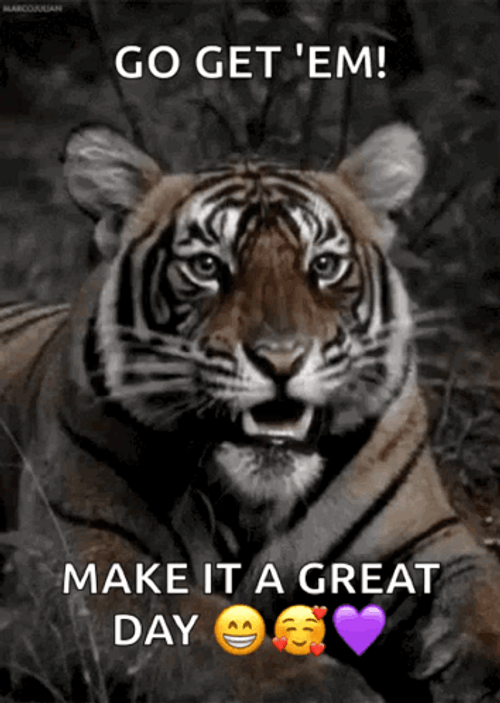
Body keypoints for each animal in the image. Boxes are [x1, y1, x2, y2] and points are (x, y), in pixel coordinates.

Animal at [1, 122, 500, 703]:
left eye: (324, 266)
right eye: (207, 266)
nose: (281, 358)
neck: (252, 506)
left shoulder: (427, 543)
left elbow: (481, 600)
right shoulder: (83, 563)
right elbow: (205, 640)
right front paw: (333, 691)